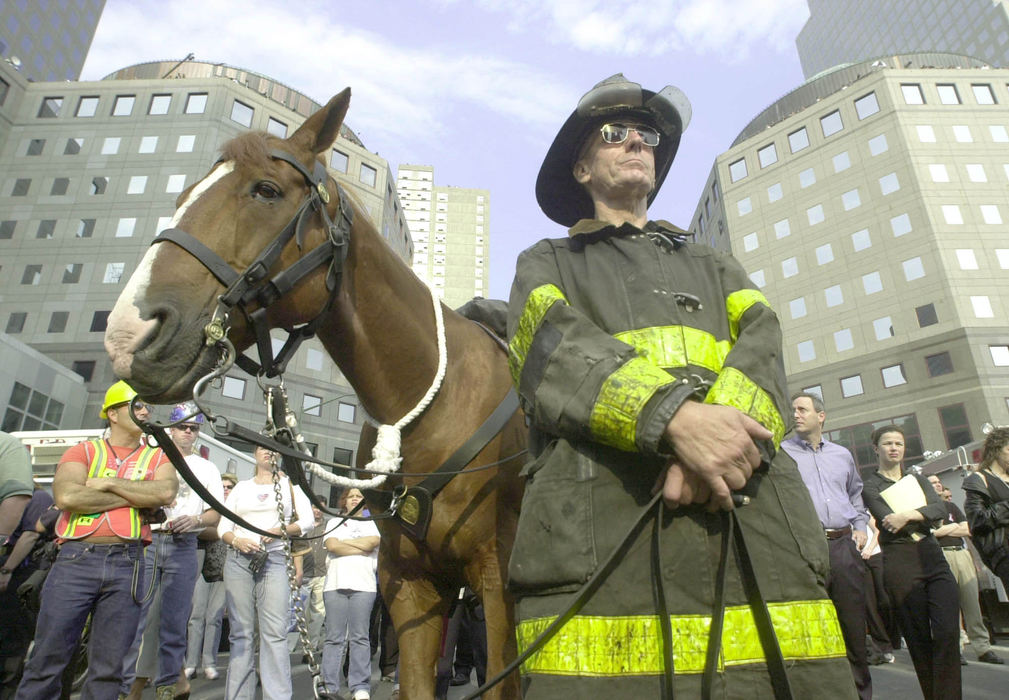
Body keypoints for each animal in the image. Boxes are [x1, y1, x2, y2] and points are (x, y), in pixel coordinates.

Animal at [105, 90, 524, 697]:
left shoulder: (501, 584)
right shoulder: (411, 584)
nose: (128, 334)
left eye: (266, 189)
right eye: (183, 196)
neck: (431, 403)